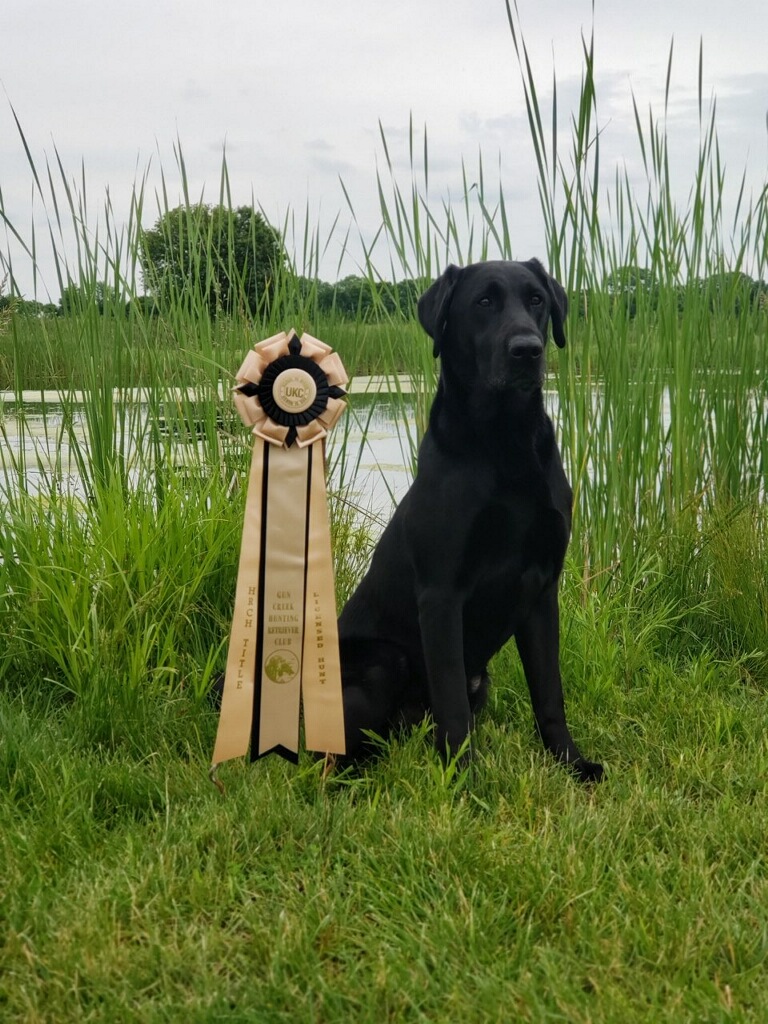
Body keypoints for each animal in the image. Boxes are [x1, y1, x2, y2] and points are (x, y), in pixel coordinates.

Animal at [339, 260, 606, 778]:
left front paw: (571, 762)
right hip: (383, 660)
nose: (528, 350)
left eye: (537, 299)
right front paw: (462, 778)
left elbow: (550, 693)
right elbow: (451, 704)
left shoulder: (542, 590)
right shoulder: (441, 595)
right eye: (483, 302)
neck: (506, 443)